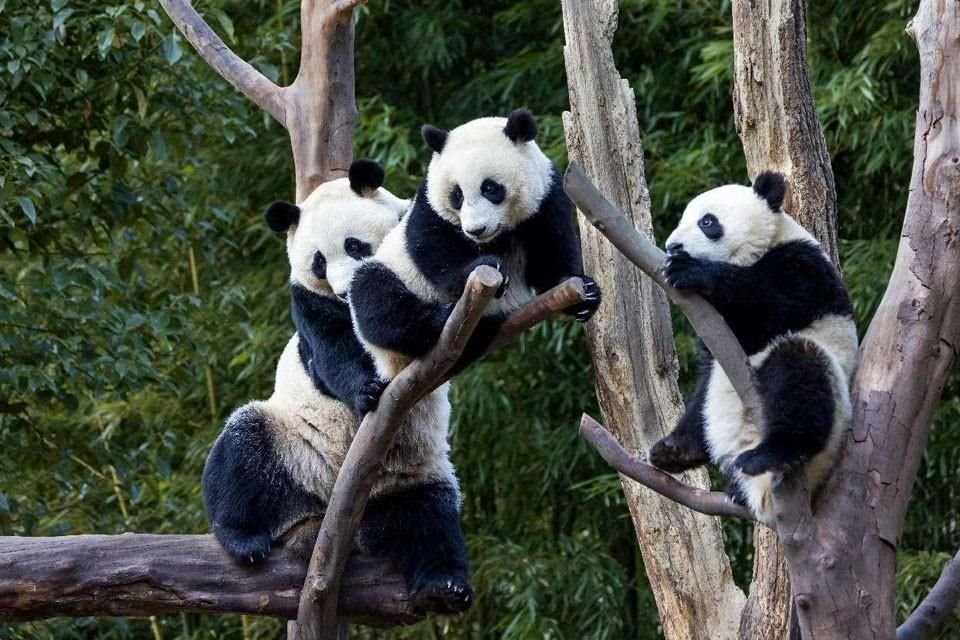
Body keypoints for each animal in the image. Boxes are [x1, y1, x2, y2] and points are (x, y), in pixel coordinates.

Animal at [202, 158, 472, 612]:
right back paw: (243, 538)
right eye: (318, 263)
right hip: (289, 445)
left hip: (408, 476)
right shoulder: (307, 304)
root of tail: (321, 517)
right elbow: (330, 356)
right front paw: (367, 389)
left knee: (428, 519)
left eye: (354, 246)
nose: (345, 290)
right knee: (242, 453)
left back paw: (445, 585)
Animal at [344, 109, 600, 380]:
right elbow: (430, 245)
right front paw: (486, 266)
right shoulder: (430, 203)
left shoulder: (546, 198)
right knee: (374, 295)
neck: (496, 237)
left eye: (490, 187)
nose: (475, 230)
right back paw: (440, 319)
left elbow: (549, 258)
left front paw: (585, 294)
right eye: (456, 195)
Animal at [648, 171, 860, 524]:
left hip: (833, 408)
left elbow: (770, 307)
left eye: (707, 221)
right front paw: (672, 449)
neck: (766, 244)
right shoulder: (715, 345)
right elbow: (704, 375)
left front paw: (690, 271)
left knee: (801, 376)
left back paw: (769, 454)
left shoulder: (805, 268)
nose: (672, 246)